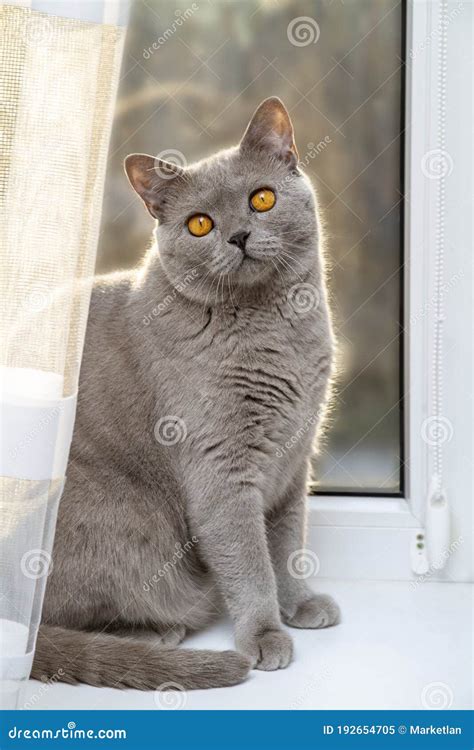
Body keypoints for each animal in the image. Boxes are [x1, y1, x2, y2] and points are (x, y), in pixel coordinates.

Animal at [31, 98, 338, 692]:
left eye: (261, 199)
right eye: (200, 224)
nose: (238, 236)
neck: (277, 333)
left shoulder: (295, 460)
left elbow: (287, 546)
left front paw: (300, 605)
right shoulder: (221, 470)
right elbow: (251, 563)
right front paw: (265, 635)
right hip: (126, 522)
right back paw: (154, 635)